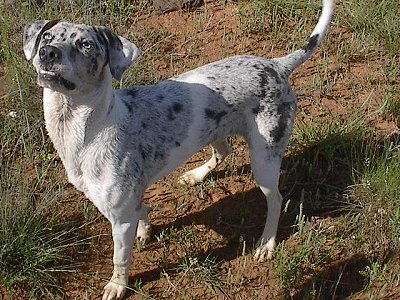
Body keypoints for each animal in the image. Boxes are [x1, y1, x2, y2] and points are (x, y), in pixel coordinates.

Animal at [22, 1, 334, 298]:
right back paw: (196, 175)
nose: (47, 53)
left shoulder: (119, 218)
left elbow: (120, 259)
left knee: (276, 200)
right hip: (213, 131)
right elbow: (143, 211)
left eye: (85, 44)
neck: (85, 129)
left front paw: (118, 286)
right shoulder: (130, 201)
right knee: (224, 151)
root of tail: (276, 65)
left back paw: (266, 243)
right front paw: (145, 230)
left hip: (264, 160)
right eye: (47, 36)